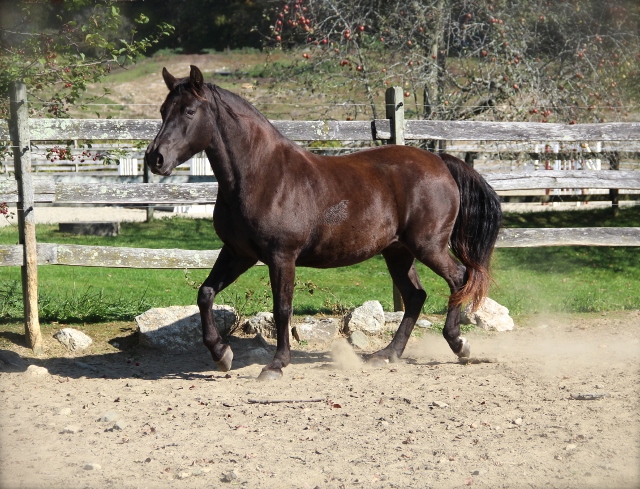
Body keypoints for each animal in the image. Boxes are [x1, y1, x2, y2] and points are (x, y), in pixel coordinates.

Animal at [146, 65, 504, 380]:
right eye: (164, 110)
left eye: (189, 111)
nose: (155, 158)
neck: (261, 173)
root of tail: (440, 162)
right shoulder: (239, 253)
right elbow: (205, 293)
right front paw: (222, 355)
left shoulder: (281, 256)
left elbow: (282, 310)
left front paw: (276, 365)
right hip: (398, 252)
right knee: (416, 296)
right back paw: (387, 354)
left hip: (428, 246)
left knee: (459, 279)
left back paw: (458, 344)